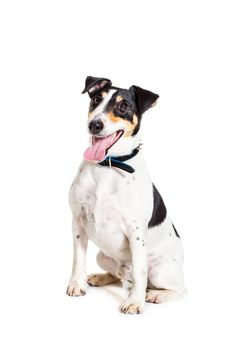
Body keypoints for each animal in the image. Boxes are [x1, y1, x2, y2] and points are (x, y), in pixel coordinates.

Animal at [67, 75, 186, 314]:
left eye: (123, 107)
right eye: (96, 99)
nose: (95, 125)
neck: (108, 166)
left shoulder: (136, 232)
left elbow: (141, 272)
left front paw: (135, 302)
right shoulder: (78, 222)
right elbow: (78, 259)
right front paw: (77, 283)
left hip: (161, 271)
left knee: (177, 287)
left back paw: (156, 294)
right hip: (102, 256)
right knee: (118, 274)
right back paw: (100, 278)